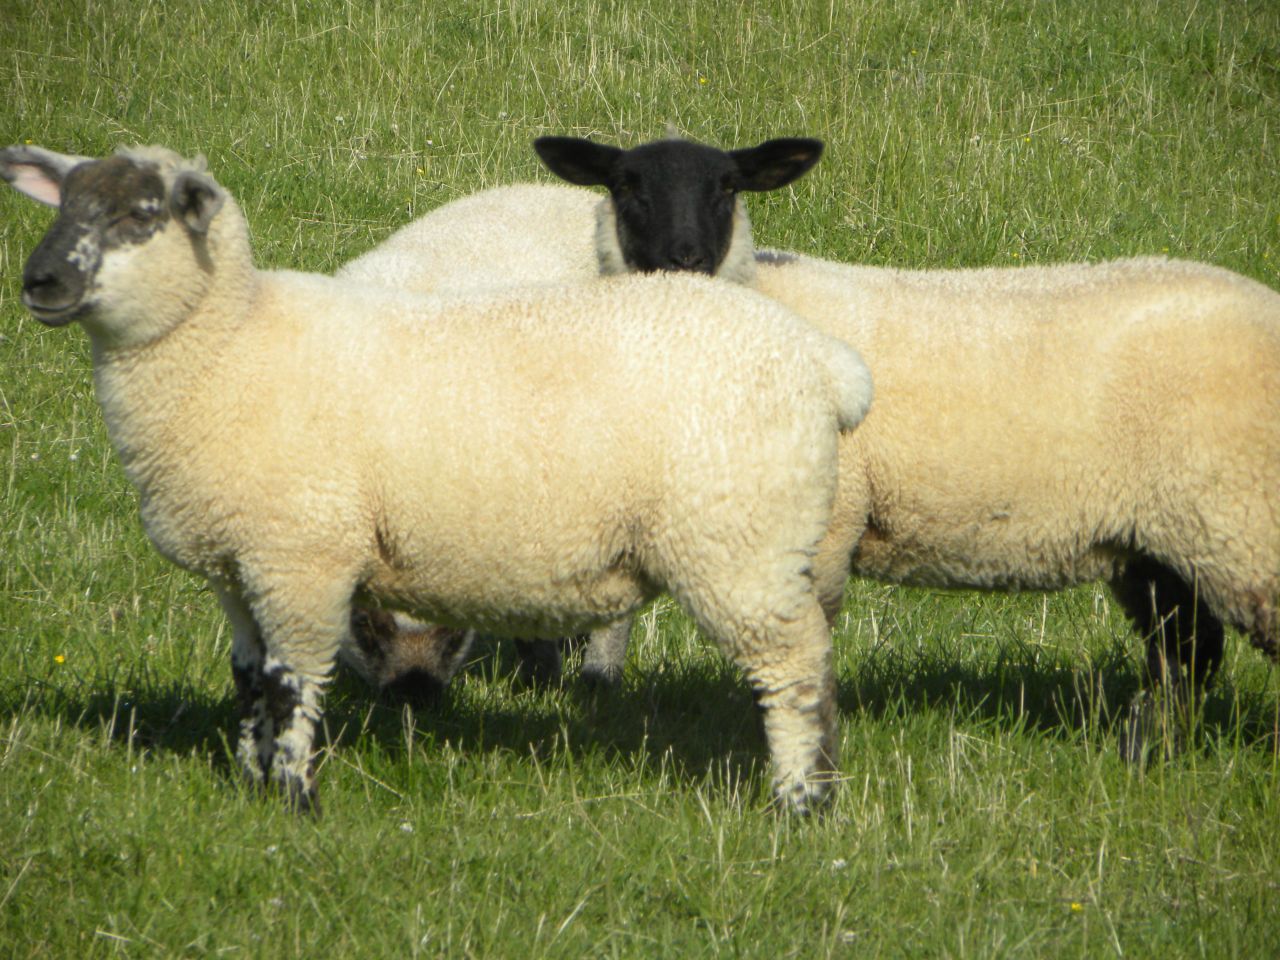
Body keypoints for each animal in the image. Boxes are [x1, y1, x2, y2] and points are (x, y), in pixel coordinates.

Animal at [0, 142, 875, 814]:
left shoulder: (300, 558)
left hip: (741, 547)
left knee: (797, 671)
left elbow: (291, 682)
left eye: (140, 214)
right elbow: (249, 678)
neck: (226, 347)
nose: (39, 283)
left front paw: (294, 798)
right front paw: (251, 784)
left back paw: (800, 802)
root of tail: (827, 364)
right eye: (64, 204)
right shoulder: (237, 565)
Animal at [349, 134, 1280, 758]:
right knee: (1185, 655)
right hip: (1161, 538)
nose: (683, 257)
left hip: (1241, 521)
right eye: (625, 185)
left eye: (728, 184)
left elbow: (804, 644)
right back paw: (1146, 752)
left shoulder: (820, 531)